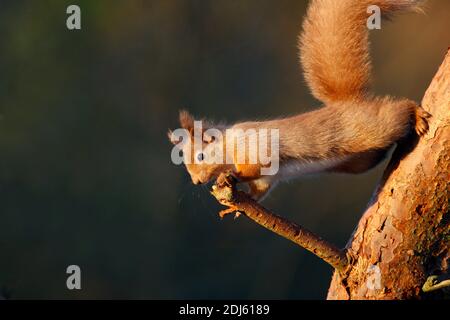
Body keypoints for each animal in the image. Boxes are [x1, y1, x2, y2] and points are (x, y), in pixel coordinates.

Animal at [168, 0, 428, 202]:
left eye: (201, 156)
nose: (197, 182)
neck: (228, 144)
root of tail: (348, 102)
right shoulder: (267, 178)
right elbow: (259, 188)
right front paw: (236, 205)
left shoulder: (255, 146)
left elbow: (254, 168)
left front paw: (232, 177)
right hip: (360, 160)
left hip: (368, 129)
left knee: (395, 112)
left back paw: (416, 115)